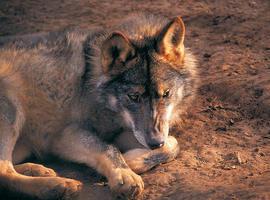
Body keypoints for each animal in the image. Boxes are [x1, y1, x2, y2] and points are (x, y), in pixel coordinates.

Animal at [0, 13, 197, 199]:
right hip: (12, 103)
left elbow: (174, 144)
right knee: (4, 172)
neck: (91, 84)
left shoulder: (129, 132)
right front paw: (124, 173)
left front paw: (132, 161)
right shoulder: (65, 135)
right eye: (133, 97)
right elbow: (108, 148)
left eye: (166, 93)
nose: (155, 142)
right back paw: (57, 186)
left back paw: (38, 169)